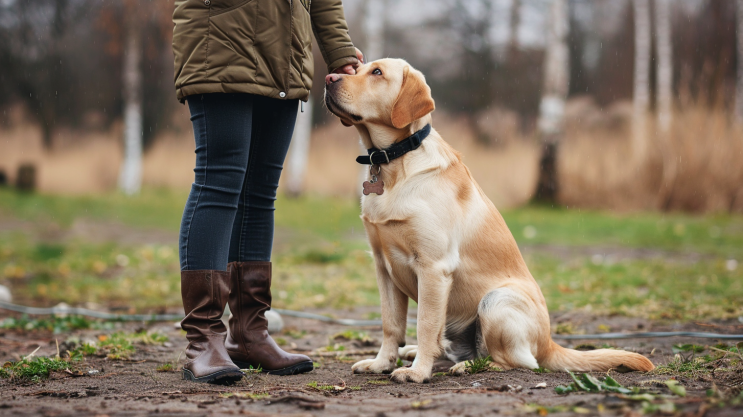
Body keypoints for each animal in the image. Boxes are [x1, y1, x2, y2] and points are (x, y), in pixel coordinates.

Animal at [322, 58, 652, 384]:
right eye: (356, 69)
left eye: (377, 72)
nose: (328, 79)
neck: (394, 165)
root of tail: (549, 343)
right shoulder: (383, 266)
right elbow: (391, 324)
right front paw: (381, 363)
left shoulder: (433, 266)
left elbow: (425, 324)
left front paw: (417, 372)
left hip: (495, 301)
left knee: (519, 362)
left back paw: (467, 366)